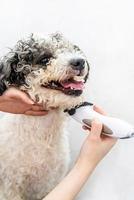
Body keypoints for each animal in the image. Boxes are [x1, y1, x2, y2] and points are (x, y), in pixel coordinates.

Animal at [0, 33, 90, 200]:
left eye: (72, 49)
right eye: (44, 59)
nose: (79, 62)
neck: (42, 138)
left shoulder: (51, 183)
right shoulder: (10, 186)